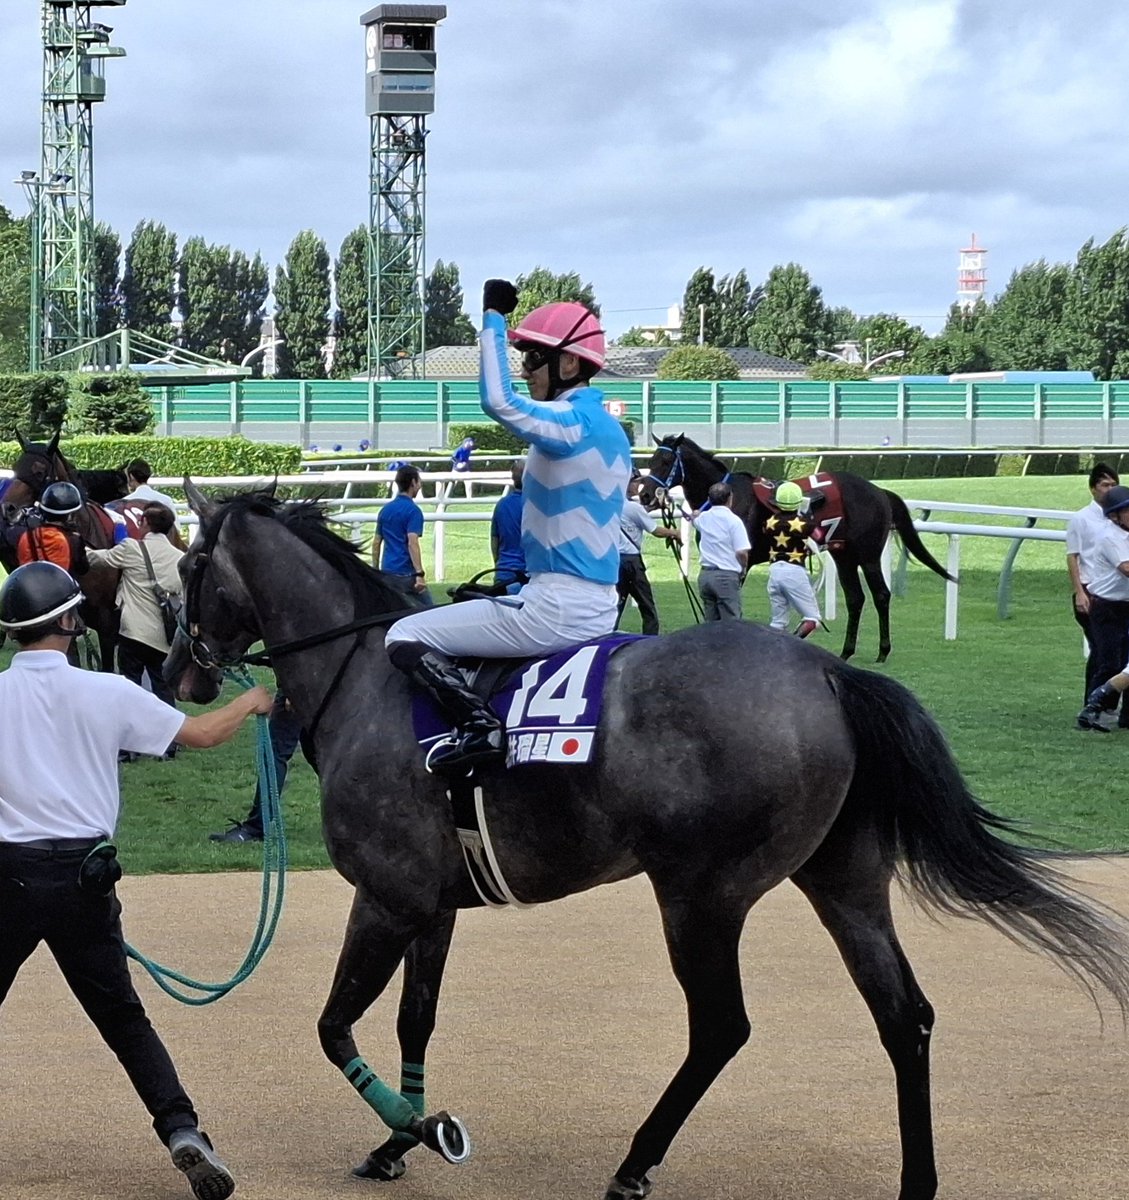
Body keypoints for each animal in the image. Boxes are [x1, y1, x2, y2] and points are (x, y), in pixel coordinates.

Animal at [163, 480, 1129, 1200]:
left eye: (189, 563)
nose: (180, 672)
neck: (364, 676)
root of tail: (826, 671)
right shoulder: (432, 904)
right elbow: (413, 1019)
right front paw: (400, 1140)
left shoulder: (387, 897)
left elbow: (333, 1026)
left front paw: (419, 1129)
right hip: (844, 882)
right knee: (905, 1016)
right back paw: (916, 1180)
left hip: (700, 895)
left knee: (721, 1028)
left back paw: (633, 1165)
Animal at [637, 434, 954, 662]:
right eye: (652, 460)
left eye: (666, 461)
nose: (644, 495)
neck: (728, 498)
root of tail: (878, 491)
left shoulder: (740, 562)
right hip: (844, 556)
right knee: (856, 598)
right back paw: (846, 651)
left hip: (867, 555)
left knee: (880, 595)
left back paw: (883, 651)